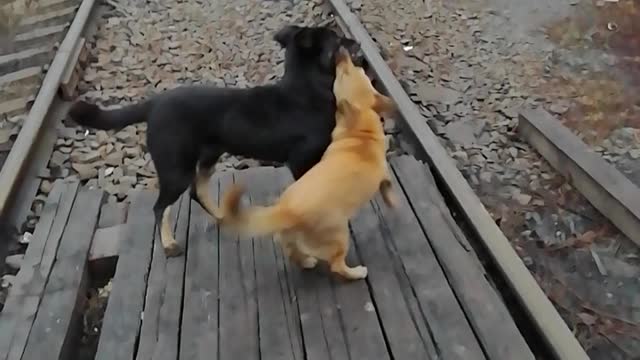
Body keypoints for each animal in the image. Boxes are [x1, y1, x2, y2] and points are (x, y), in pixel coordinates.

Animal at [70, 24, 364, 256]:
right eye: (338, 40)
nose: (357, 42)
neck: (306, 89)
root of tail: (154, 104)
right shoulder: (301, 158)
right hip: (176, 168)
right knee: (160, 207)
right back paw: (169, 244)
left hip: (209, 154)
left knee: (198, 190)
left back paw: (226, 216)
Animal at [219, 46, 396, 280]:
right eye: (347, 72)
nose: (342, 53)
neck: (358, 128)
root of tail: (287, 211)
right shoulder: (383, 173)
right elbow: (388, 187)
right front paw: (394, 202)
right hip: (340, 236)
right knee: (336, 265)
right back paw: (357, 272)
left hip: (289, 239)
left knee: (291, 252)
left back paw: (307, 261)